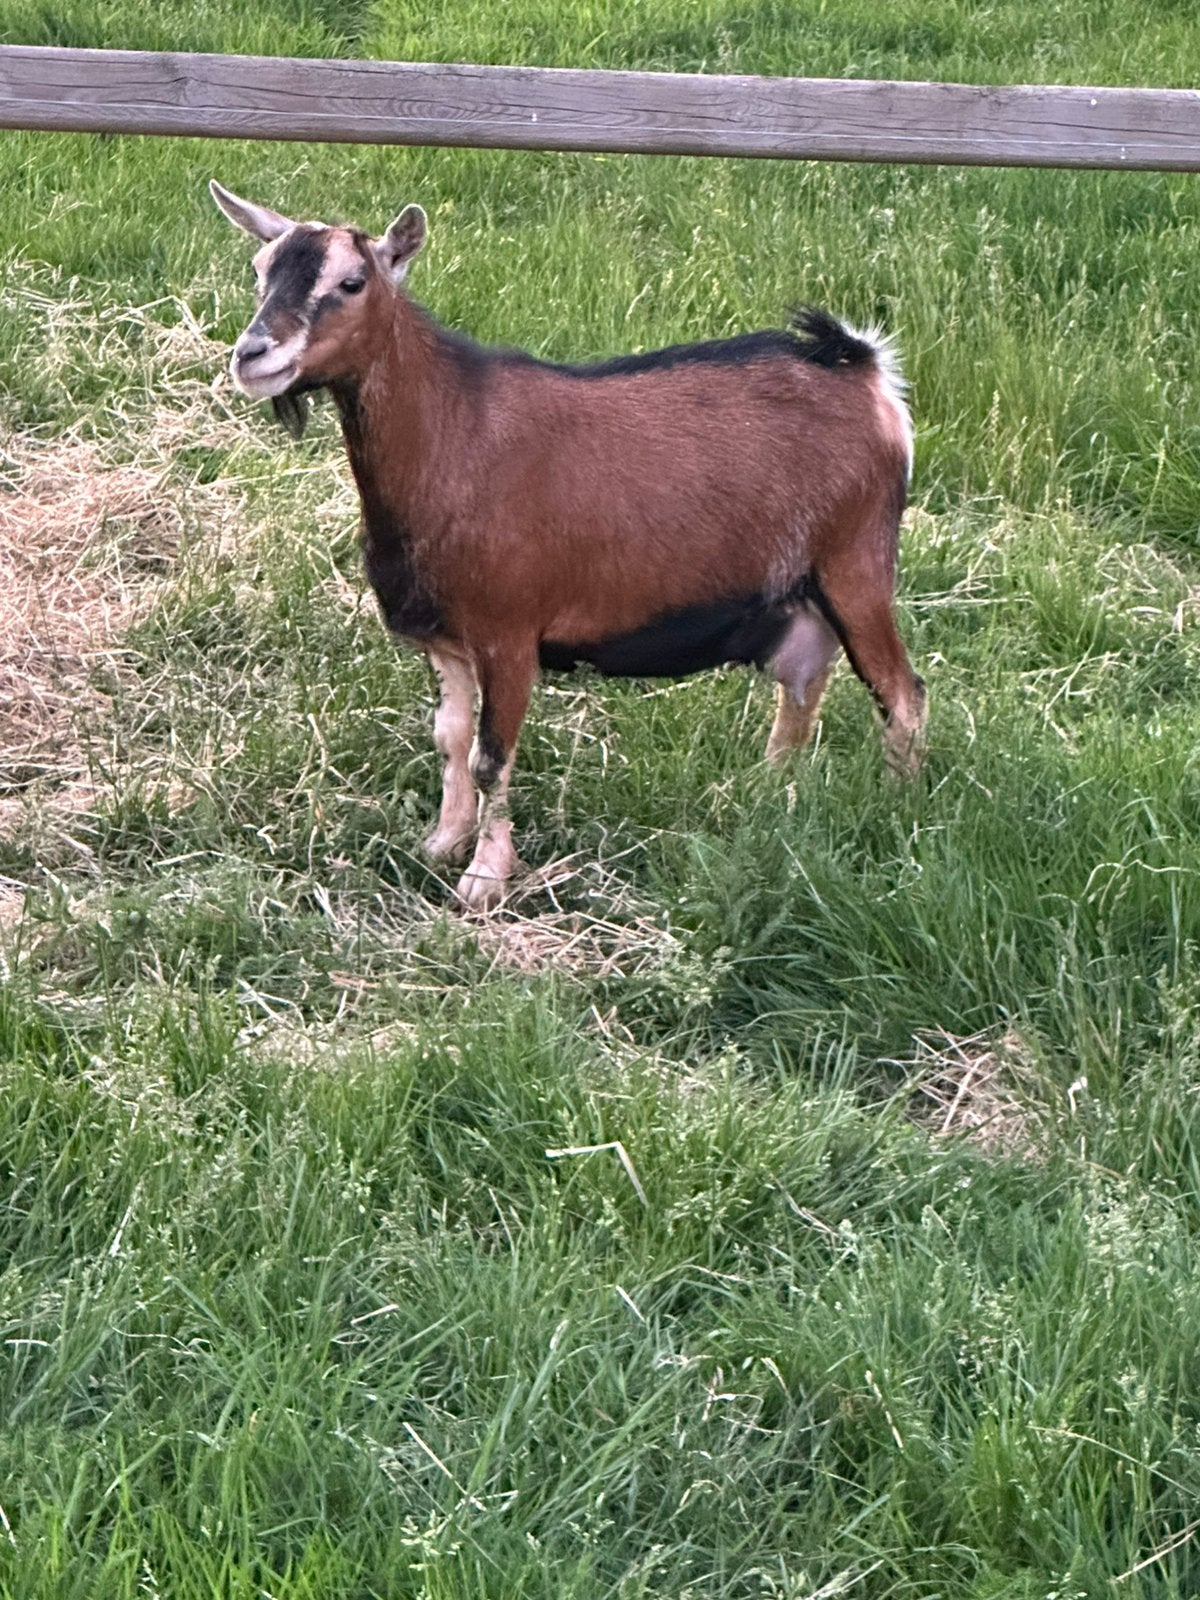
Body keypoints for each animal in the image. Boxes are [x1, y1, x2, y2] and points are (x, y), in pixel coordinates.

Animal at [210, 181, 926, 910]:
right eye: (260, 271)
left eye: (352, 282)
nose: (252, 355)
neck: (453, 430)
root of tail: (868, 375)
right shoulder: (445, 639)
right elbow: (451, 739)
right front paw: (442, 843)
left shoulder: (509, 633)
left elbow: (492, 756)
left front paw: (483, 879)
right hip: (803, 589)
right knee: (803, 683)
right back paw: (762, 799)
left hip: (856, 564)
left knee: (903, 693)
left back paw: (899, 810)